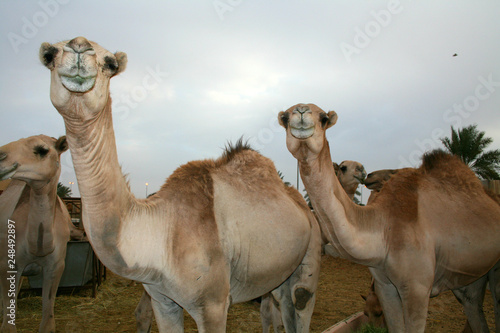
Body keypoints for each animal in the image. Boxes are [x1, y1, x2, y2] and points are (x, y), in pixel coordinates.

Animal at [0, 134, 71, 330]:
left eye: (42, 150)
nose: (0, 156)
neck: (37, 248)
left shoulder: (56, 267)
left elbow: (48, 321)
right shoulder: (7, 265)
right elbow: (7, 326)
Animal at [39, 36, 320, 332]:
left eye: (111, 64)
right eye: (49, 54)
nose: (79, 46)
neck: (159, 230)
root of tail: (302, 206)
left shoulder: (213, 303)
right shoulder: (162, 300)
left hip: (311, 248)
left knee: (301, 300)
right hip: (278, 274)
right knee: (284, 307)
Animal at [280, 102, 500, 330]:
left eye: (323, 118)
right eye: (285, 118)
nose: (363, 171)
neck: (383, 228)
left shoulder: (418, 287)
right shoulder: (385, 285)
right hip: (469, 276)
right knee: (472, 304)